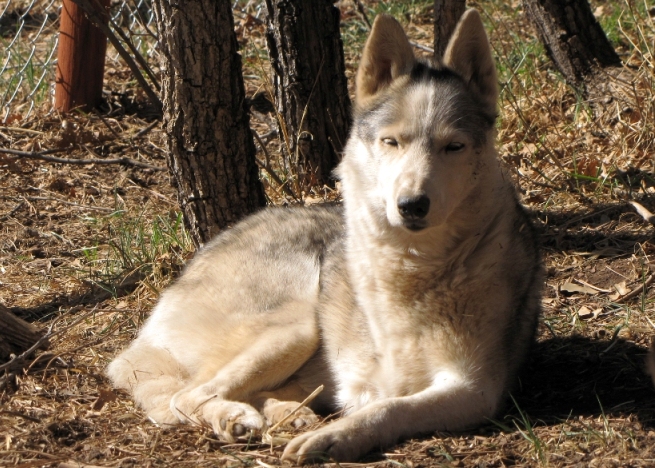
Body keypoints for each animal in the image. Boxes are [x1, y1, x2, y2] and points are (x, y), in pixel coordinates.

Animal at [107, 9, 544, 462]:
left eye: (453, 147)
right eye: (392, 142)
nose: (412, 204)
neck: (414, 265)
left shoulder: (476, 388)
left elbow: (391, 407)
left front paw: (333, 436)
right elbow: (388, 403)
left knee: (240, 394)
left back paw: (288, 417)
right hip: (300, 321)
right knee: (188, 396)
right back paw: (237, 419)